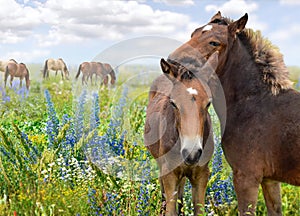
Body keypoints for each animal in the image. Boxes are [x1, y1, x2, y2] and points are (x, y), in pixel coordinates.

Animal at [144, 52, 218, 216]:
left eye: (208, 103)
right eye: (173, 103)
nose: (192, 153)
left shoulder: (202, 174)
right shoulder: (169, 174)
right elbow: (170, 209)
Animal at [169, 11, 300, 216]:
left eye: (214, 42)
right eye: (193, 33)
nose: (171, 62)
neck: (255, 103)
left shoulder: (246, 178)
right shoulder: (270, 180)